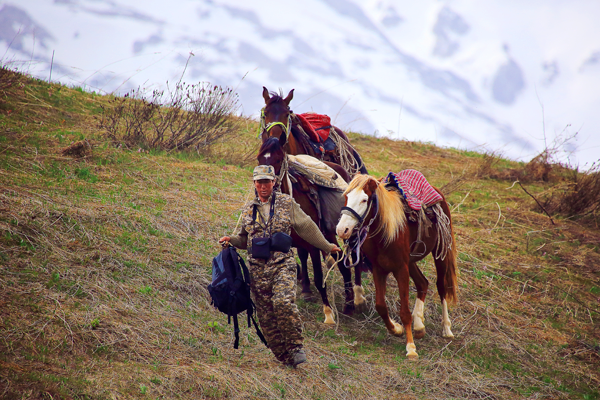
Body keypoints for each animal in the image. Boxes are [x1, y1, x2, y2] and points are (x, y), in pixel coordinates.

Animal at [255, 136, 364, 324]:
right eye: (259, 159)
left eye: (278, 159)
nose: (265, 185)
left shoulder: (314, 244)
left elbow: (320, 278)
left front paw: (328, 314)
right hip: (329, 234)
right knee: (342, 262)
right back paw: (349, 302)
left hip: (349, 231)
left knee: (353, 259)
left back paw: (357, 296)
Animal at [336, 175, 458, 360]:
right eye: (347, 196)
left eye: (364, 199)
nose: (342, 230)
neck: (385, 231)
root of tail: (438, 192)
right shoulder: (379, 269)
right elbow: (380, 305)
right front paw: (396, 329)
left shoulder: (401, 270)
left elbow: (404, 312)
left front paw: (411, 347)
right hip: (411, 261)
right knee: (423, 283)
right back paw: (419, 324)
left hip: (440, 254)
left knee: (441, 288)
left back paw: (446, 327)